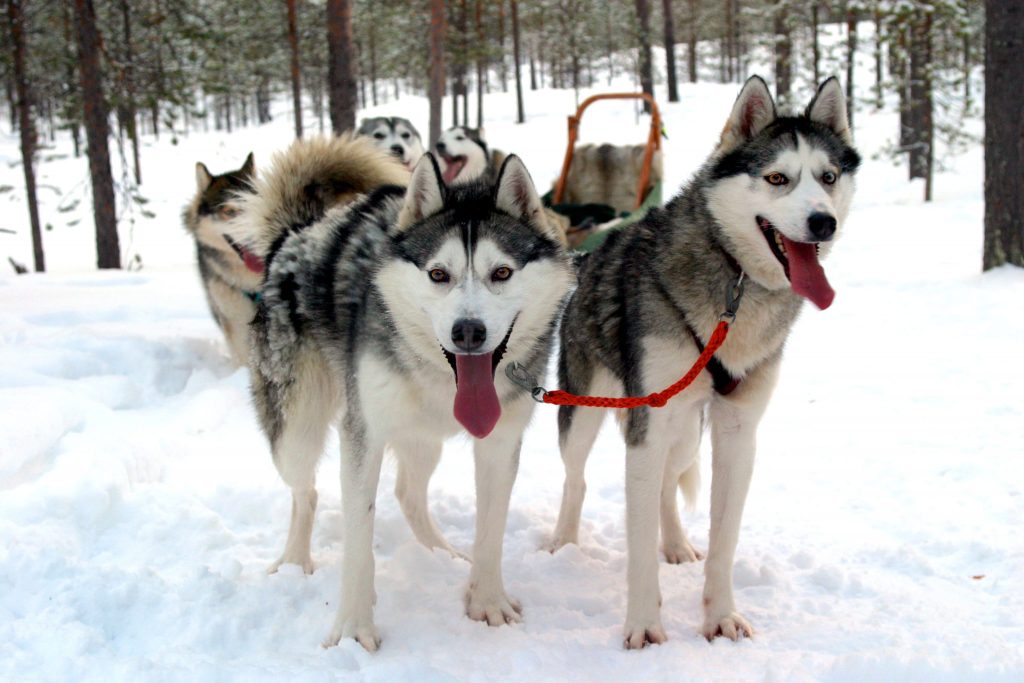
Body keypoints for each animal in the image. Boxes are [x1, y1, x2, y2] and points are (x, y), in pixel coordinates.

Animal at [237, 136, 577, 651]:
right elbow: (359, 538)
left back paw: (443, 554)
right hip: (298, 430)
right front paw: (353, 629)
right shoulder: (364, 434)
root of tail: (297, 233)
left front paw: (487, 602)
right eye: (438, 274)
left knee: (408, 493)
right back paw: (295, 562)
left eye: (501, 273)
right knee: (305, 493)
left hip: (422, 438)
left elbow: (491, 531)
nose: (468, 331)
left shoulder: (500, 444)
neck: (440, 374)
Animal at [548, 77, 860, 651]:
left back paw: (674, 542)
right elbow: (638, 542)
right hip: (585, 411)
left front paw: (721, 616)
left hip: (686, 430)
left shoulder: (736, 430)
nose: (822, 222)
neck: (734, 281)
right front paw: (643, 624)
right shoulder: (646, 425)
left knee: (666, 487)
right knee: (576, 478)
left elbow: (724, 539)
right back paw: (564, 542)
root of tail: (587, 259)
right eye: (777, 177)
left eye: (828, 177)